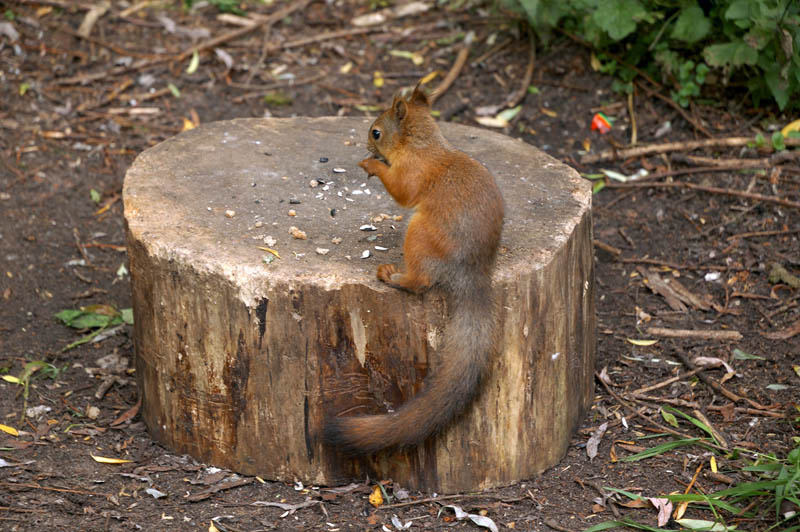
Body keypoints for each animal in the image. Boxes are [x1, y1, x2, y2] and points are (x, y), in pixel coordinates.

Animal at [323, 85, 505, 454]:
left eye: (377, 132)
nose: (367, 146)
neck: (423, 146)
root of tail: (471, 272)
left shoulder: (411, 173)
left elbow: (401, 190)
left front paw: (370, 164)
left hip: (419, 234)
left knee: (420, 281)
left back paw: (391, 276)